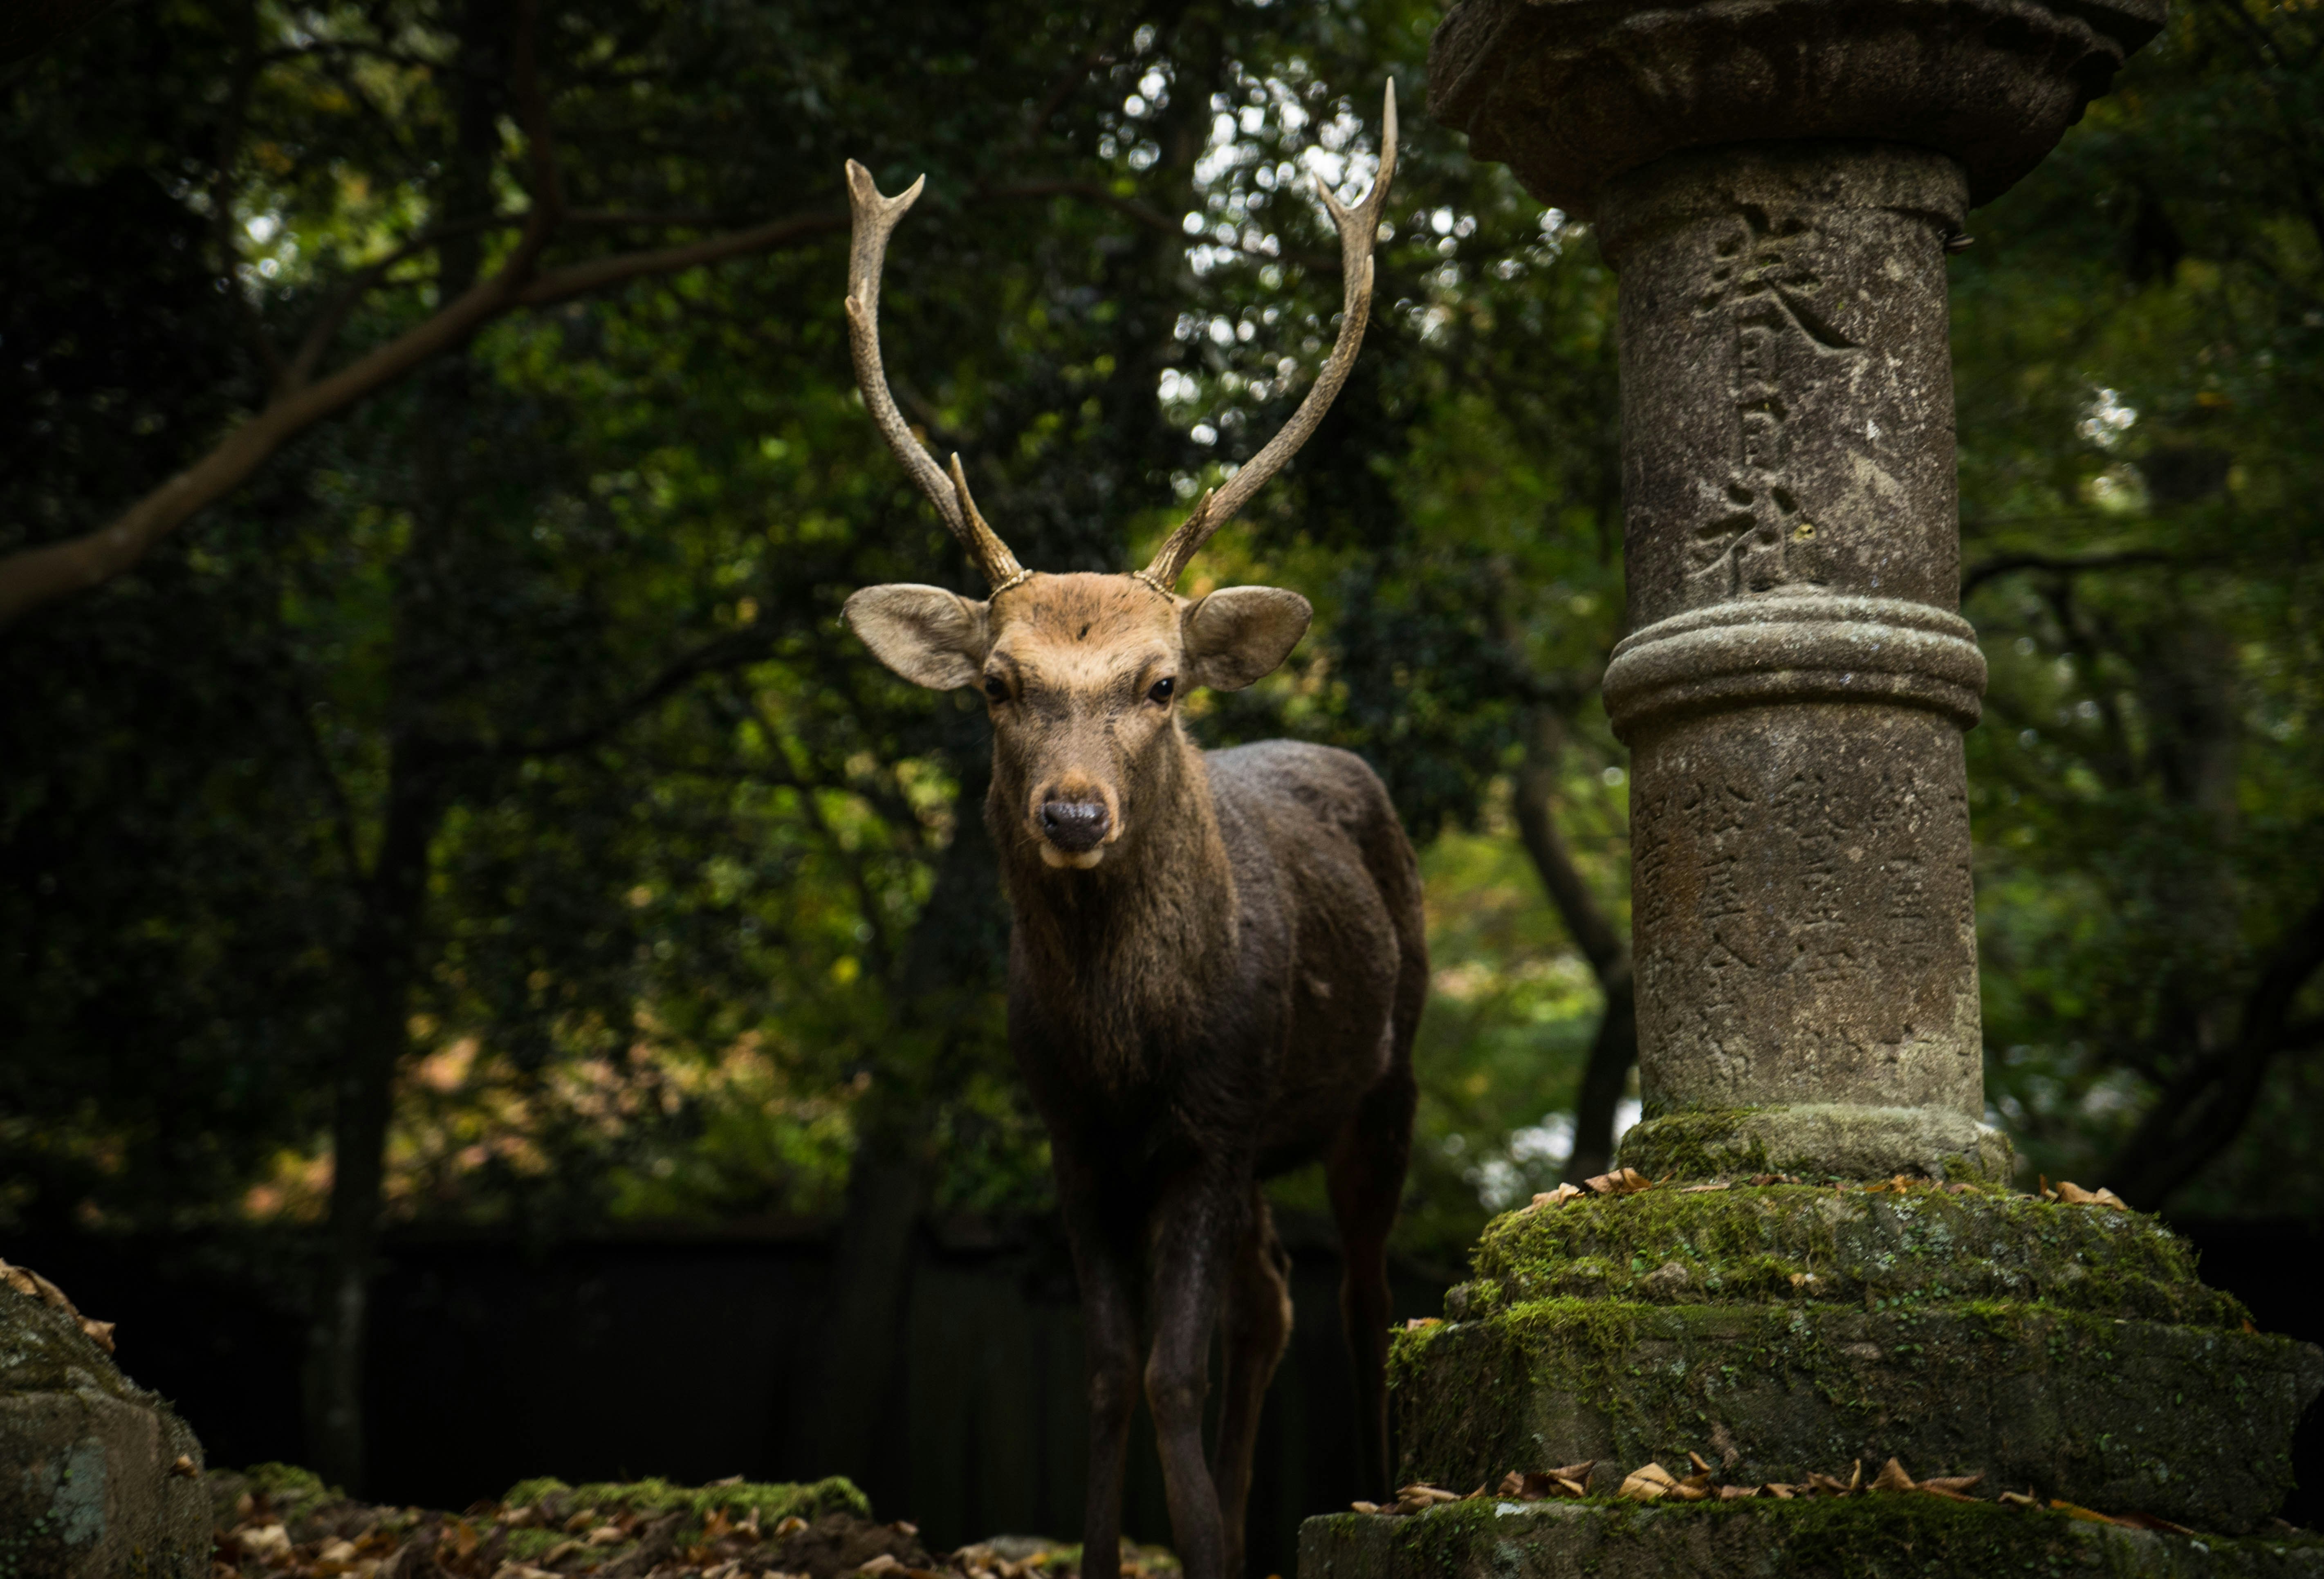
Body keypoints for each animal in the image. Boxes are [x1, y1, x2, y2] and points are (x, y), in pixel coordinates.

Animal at [837, 83, 1413, 1579]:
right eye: (997, 682)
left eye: (1159, 684)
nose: (1073, 808)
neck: (1123, 1038)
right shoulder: (1074, 1135)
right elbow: (1105, 1373)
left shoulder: (1210, 1116)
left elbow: (1168, 1368)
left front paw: (1208, 1544)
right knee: (1271, 1298)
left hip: (1379, 1077)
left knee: (1360, 1293)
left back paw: (1378, 1499)